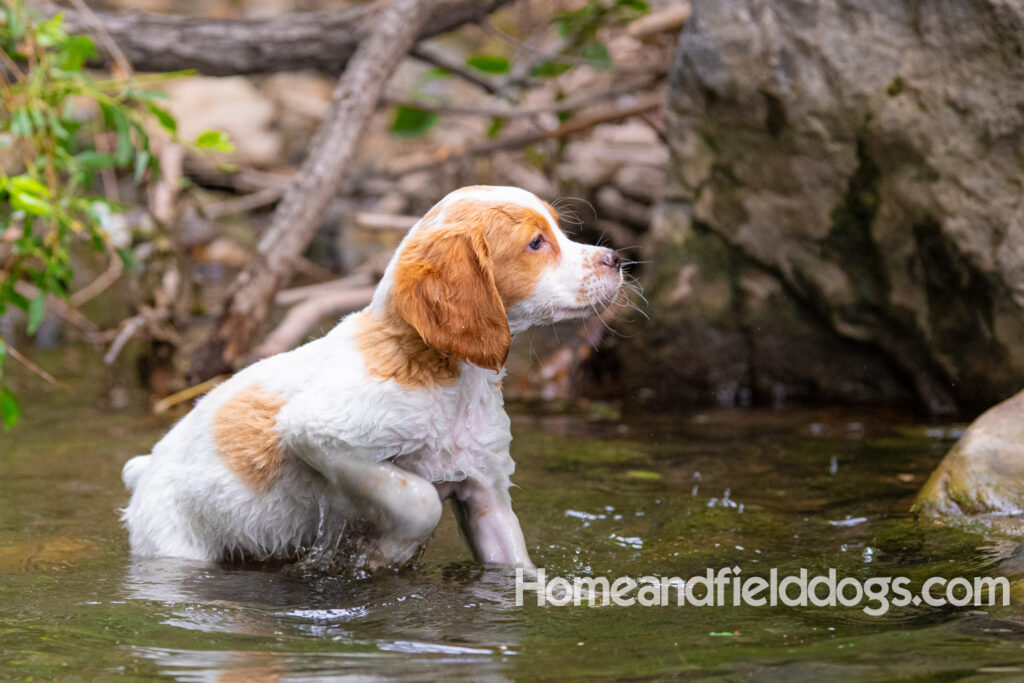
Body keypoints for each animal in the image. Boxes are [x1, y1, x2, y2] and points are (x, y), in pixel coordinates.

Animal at [123, 184, 626, 573]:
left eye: (558, 229)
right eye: (536, 243)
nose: (615, 258)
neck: (446, 379)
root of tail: (145, 468)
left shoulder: (486, 492)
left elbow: (516, 562)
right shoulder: (316, 432)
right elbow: (419, 499)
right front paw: (386, 550)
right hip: (174, 543)